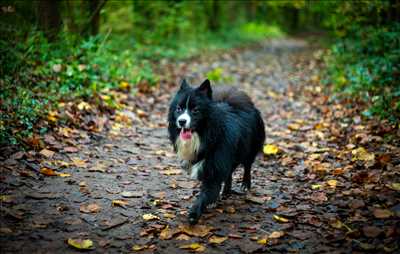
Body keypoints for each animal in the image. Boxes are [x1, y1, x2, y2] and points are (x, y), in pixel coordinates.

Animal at [168, 79, 266, 224]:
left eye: (195, 110)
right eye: (178, 109)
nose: (181, 121)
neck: (205, 135)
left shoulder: (215, 164)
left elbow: (206, 192)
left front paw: (194, 214)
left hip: (249, 147)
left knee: (247, 165)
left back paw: (245, 184)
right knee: (229, 172)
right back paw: (226, 191)